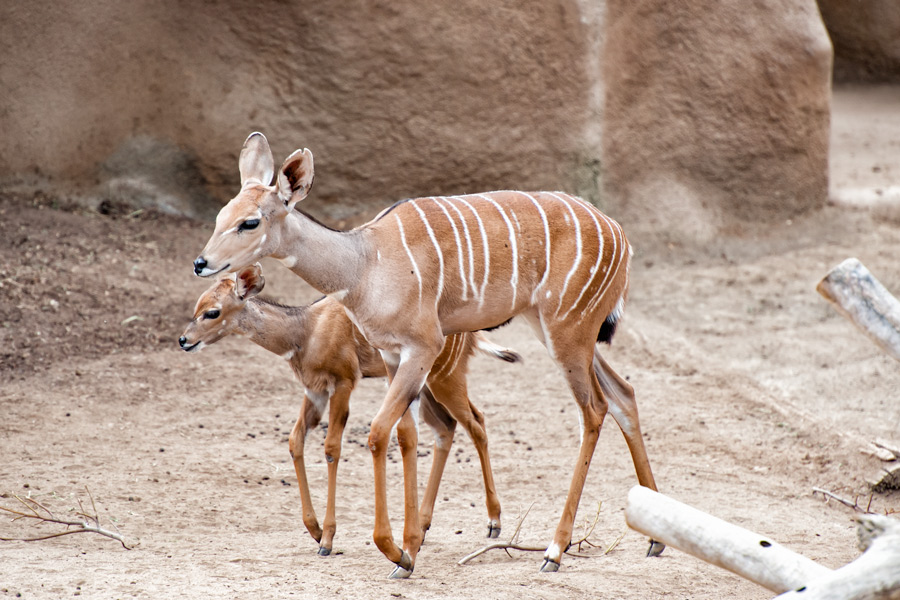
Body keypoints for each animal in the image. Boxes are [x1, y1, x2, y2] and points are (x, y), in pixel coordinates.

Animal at [179, 263, 519, 556]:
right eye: (197, 306)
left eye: (212, 312)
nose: (183, 340)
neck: (305, 332)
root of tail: (472, 333)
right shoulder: (314, 390)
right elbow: (295, 440)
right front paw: (315, 530)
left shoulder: (343, 382)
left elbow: (332, 447)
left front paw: (327, 539)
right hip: (424, 388)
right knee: (447, 427)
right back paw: (422, 529)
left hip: (445, 377)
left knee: (476, 423)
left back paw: (493, 522)